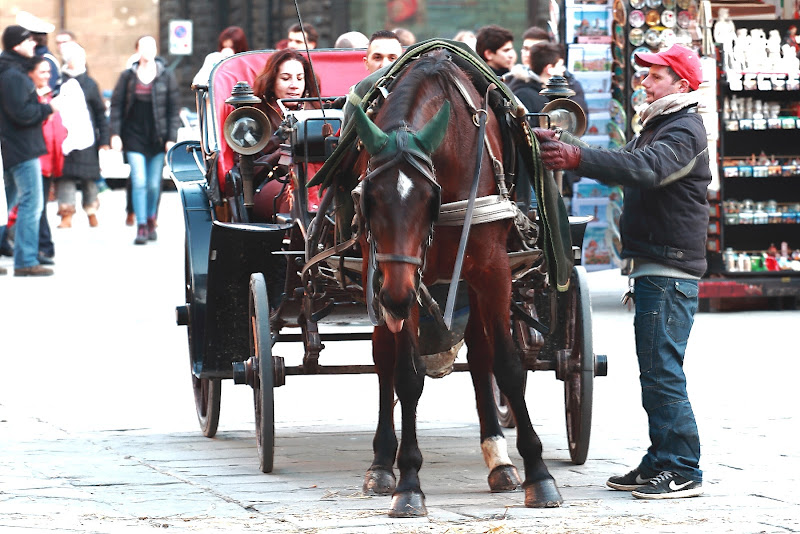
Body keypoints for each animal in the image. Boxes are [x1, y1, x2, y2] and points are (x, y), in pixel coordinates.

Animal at [350, 48, 564, 516]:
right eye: (368, 198)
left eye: (430, 198)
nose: (394, 298)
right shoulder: (403, 277)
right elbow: (406, 377)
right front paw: (408, 483)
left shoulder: (492, 270)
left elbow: (508, 367)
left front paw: (539, 475)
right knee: (383, 361)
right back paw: (380, 465)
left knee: (481, 354)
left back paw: (500, 460)